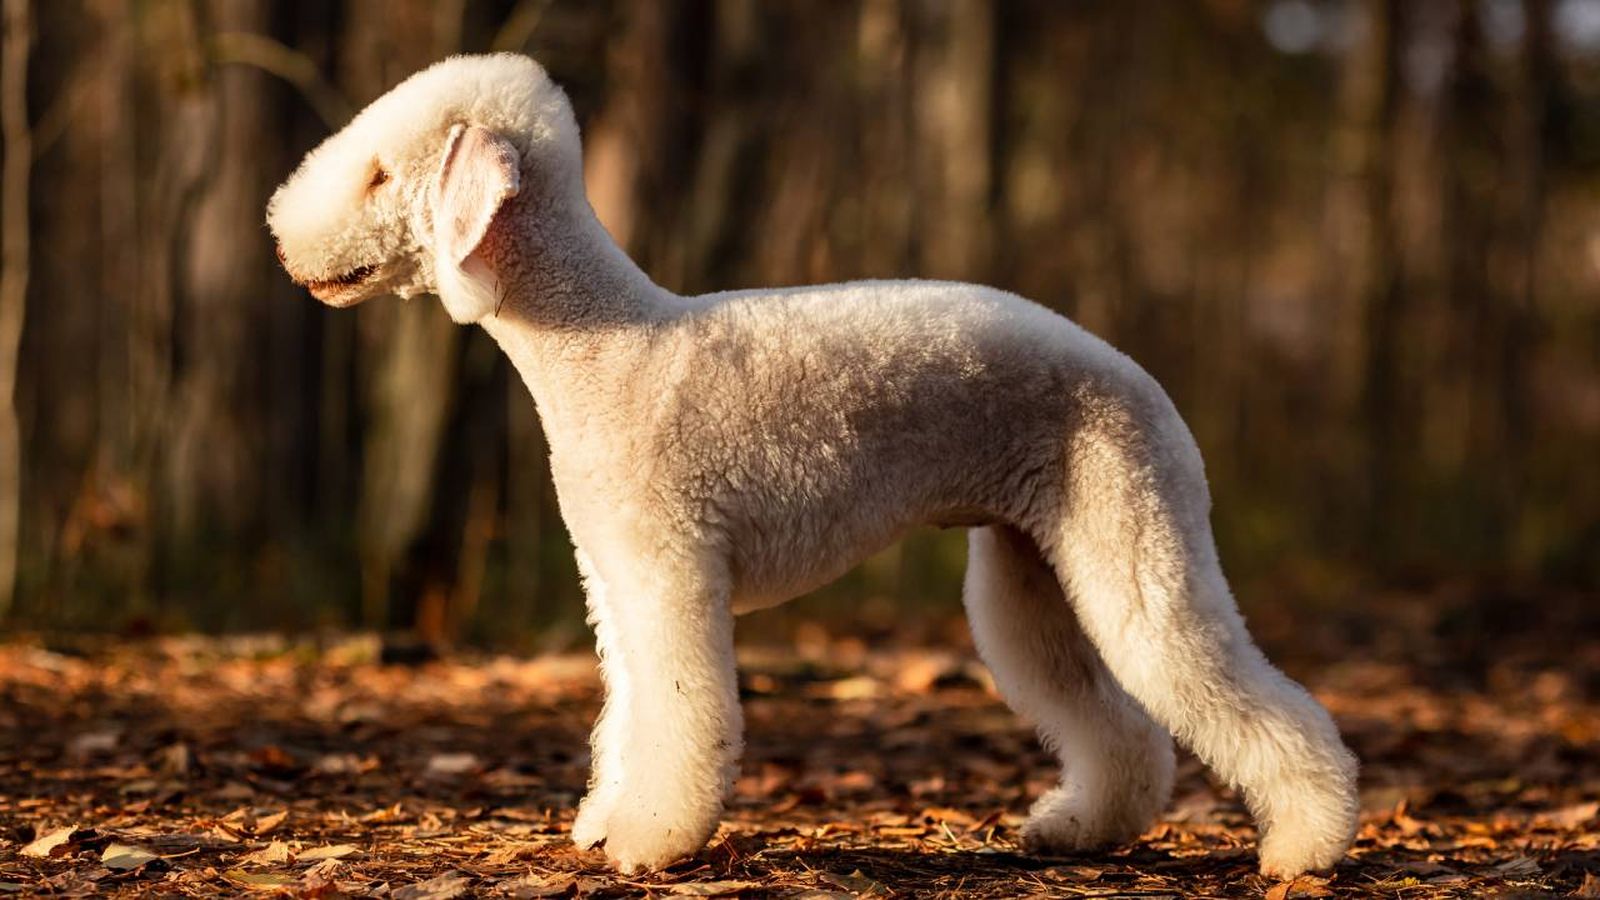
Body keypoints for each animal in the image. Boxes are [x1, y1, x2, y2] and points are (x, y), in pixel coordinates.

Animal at [267, 53, 1359, 878]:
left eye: (378, 175)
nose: (280, 240)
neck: (598, 342)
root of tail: (1141, 377)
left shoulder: (670, 574)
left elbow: (681, 715)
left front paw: (649, 842)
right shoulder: (614, 587)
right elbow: (627, 714)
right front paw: (603, 821)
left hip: (1135, 538)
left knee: (1241, 694)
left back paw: (1306, 847)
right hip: (1030, 570)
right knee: (1118, 725)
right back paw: (1079, 828)